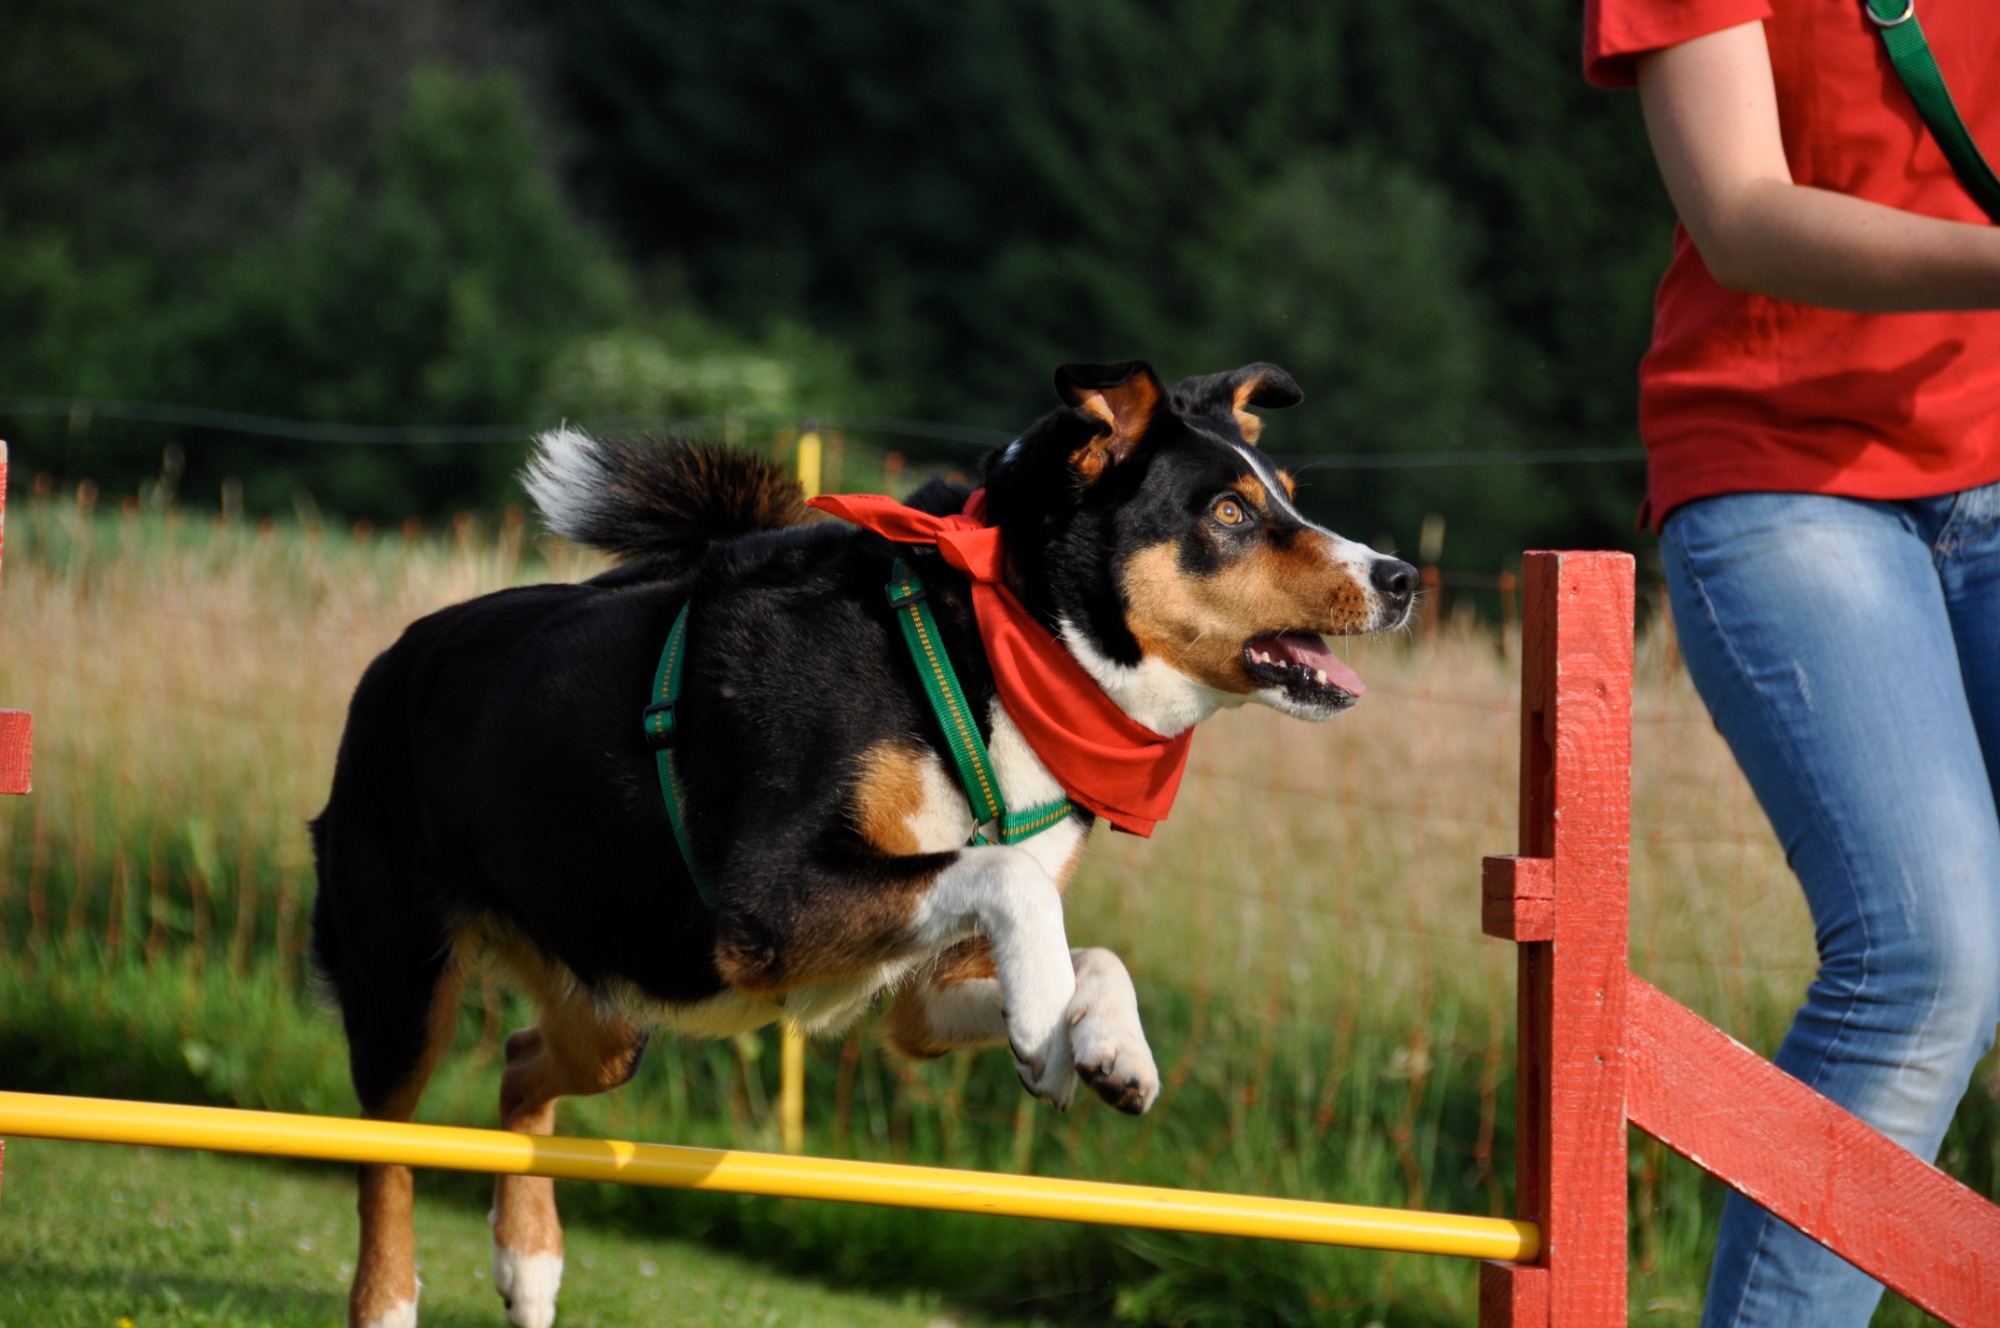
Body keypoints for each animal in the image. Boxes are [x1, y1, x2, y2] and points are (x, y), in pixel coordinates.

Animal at [309, 359, 1417, 1328]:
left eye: (1288, 499)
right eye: (1227, 513)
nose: (1401, 576)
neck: (995, 645)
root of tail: (395, 657)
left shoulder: (920, 984)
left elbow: (1083, 946)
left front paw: (1106, 1041)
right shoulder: (773, 900)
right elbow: (1012, 879)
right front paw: (1048, 1028)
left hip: (618, 998)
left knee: (519, 1063)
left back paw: (529, 1265)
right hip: (406, 979)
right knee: (385, 1149)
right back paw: (390, 1301)